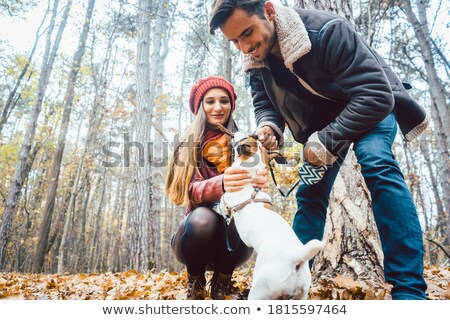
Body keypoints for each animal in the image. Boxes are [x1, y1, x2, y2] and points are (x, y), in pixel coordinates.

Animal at [219, 132, 322, 300]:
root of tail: (295, 258)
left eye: (245, 138)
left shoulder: (228, 198)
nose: (255, 133)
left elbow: (223, 201)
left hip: (259, 292)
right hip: (302, 294)